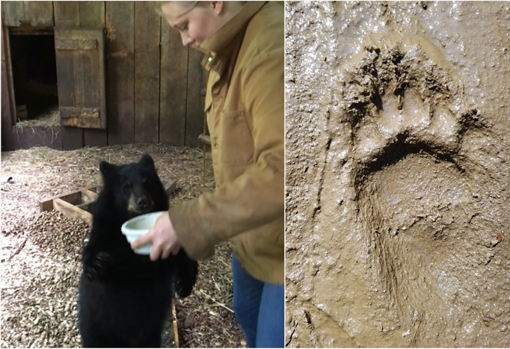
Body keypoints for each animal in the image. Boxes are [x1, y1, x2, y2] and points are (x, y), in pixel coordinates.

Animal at [77, 154, 197, 346]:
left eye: (147, 182)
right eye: (126, 187)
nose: (143, 202)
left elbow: (176, 254)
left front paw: (184, 284)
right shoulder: (106, 233)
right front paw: (97, 264)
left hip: (151, 334)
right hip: (95, 326)